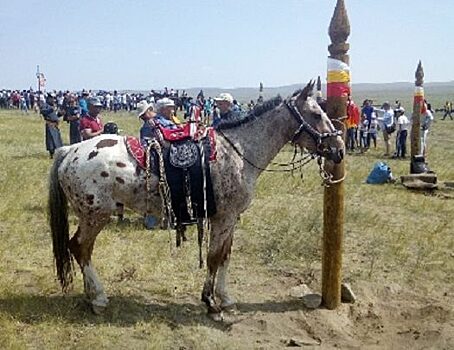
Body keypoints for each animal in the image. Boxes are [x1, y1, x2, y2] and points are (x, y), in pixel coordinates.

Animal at [48, 80, 344, 318]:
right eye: (316, 114)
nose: (339, 149)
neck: (239, 153)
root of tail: (70, 150)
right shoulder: (223, 218)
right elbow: (214, 258)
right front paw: (211, 304)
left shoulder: (229, 219)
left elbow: (225, 257)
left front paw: (225, 299)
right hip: (95, 215)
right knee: (80, 248)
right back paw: (98, 298)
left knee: (81, 250)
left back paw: (91, 295)